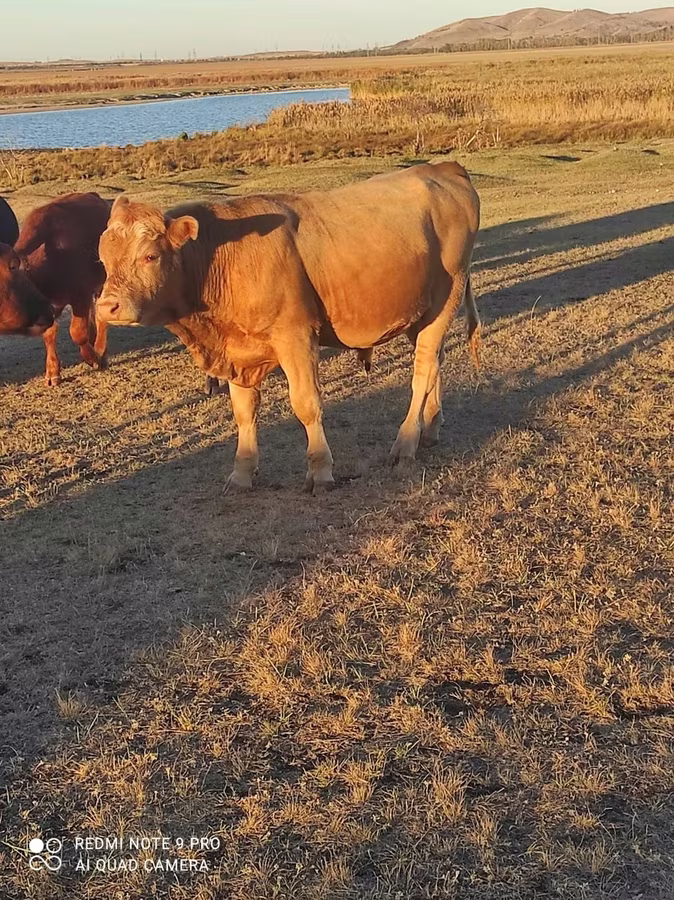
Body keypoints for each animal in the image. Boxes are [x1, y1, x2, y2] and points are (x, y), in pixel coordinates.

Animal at [15, 192, 111, 386]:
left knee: (101, 316)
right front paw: (53, 371)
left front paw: (93, 359)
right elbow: (49, 334)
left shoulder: (80, 295)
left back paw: (100, 351)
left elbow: (77, 332)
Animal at [96, 161, 481, 492]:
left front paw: (321, 470)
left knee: (423, 372)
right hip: (421, 313)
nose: (106, 306)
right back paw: (430, 427)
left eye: (150, 255)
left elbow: (306, 404)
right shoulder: (240, 353)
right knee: (435, 364)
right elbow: (244, 412)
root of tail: (443, 168)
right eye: (103, 260)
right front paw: (242, 472)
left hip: (445, 299)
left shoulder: (296, 338)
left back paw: (406, 443)